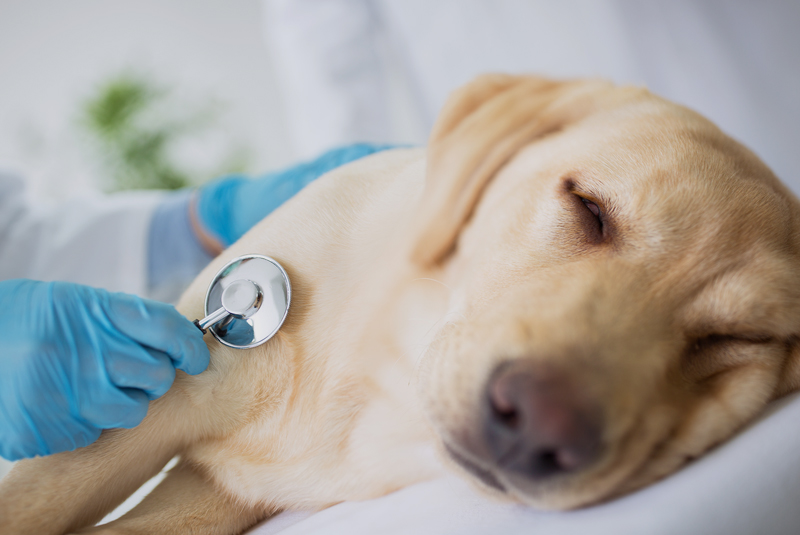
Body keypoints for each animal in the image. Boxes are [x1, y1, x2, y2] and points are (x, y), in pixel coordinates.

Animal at [1, 76, 800, 535]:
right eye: (590, 210)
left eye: (735, 336)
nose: (537, 426)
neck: (369, 388)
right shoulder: (152, 407)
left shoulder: (212, 496)